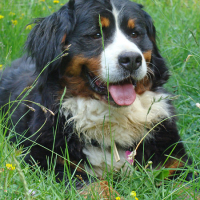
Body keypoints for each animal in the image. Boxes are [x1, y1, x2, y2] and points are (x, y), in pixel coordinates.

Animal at [0, 0, 194, 197]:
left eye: (135, 34)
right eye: (96, 34)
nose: (132, 59)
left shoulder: (175, 162)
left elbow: (188, 189)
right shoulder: (47, 160)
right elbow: (97, 186)